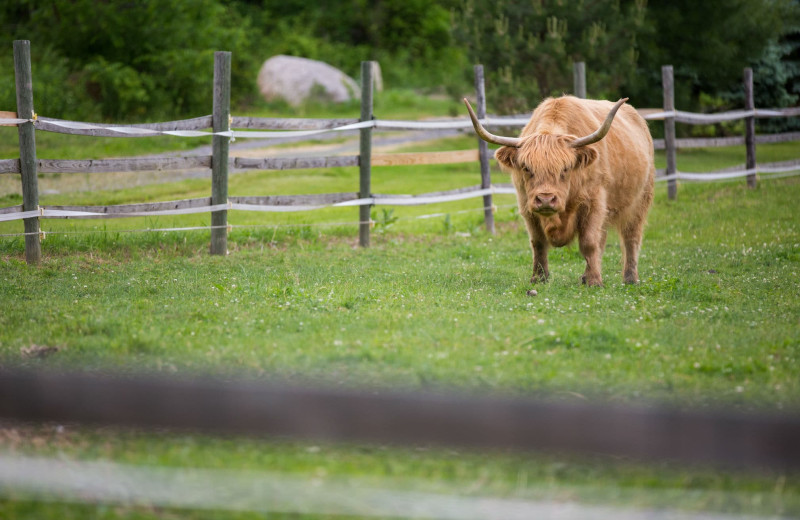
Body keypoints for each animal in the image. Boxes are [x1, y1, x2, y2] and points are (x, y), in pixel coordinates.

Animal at [466, 95, 652, 286]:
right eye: (526, 168)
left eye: (566, 168)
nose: (546, 200)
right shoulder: (526, 206)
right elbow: (538, 243)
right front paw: (539, 278)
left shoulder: (594, 202)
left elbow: (589, 242)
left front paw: (594, 281)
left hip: (640, 200)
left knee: (631, 237)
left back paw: (630, 278)